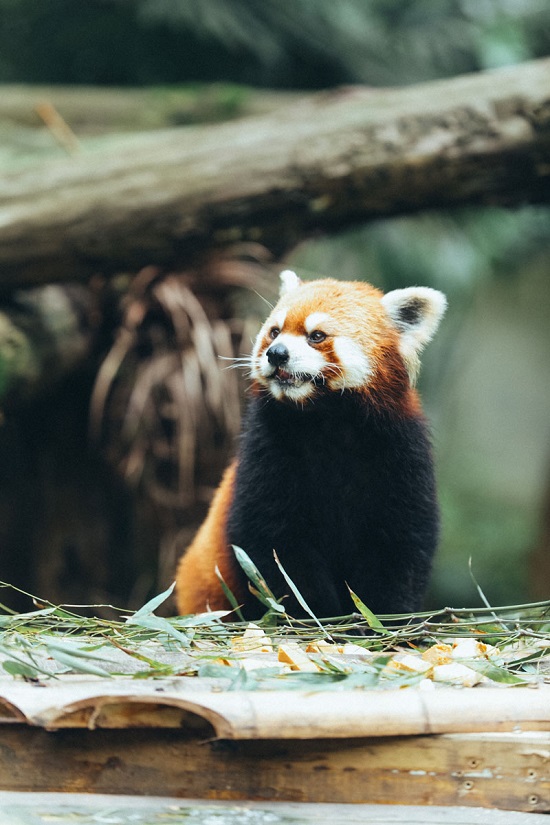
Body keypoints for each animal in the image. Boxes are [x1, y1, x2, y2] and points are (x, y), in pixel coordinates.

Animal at [177, 270, 448, 616]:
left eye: (316, 335)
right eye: (274, 332)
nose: (276, 353)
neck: (325, 420)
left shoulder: (401, 452)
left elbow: (400, 544)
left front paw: (383, 615)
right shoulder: (265, 451)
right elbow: (278, 548)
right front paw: (316, 614)